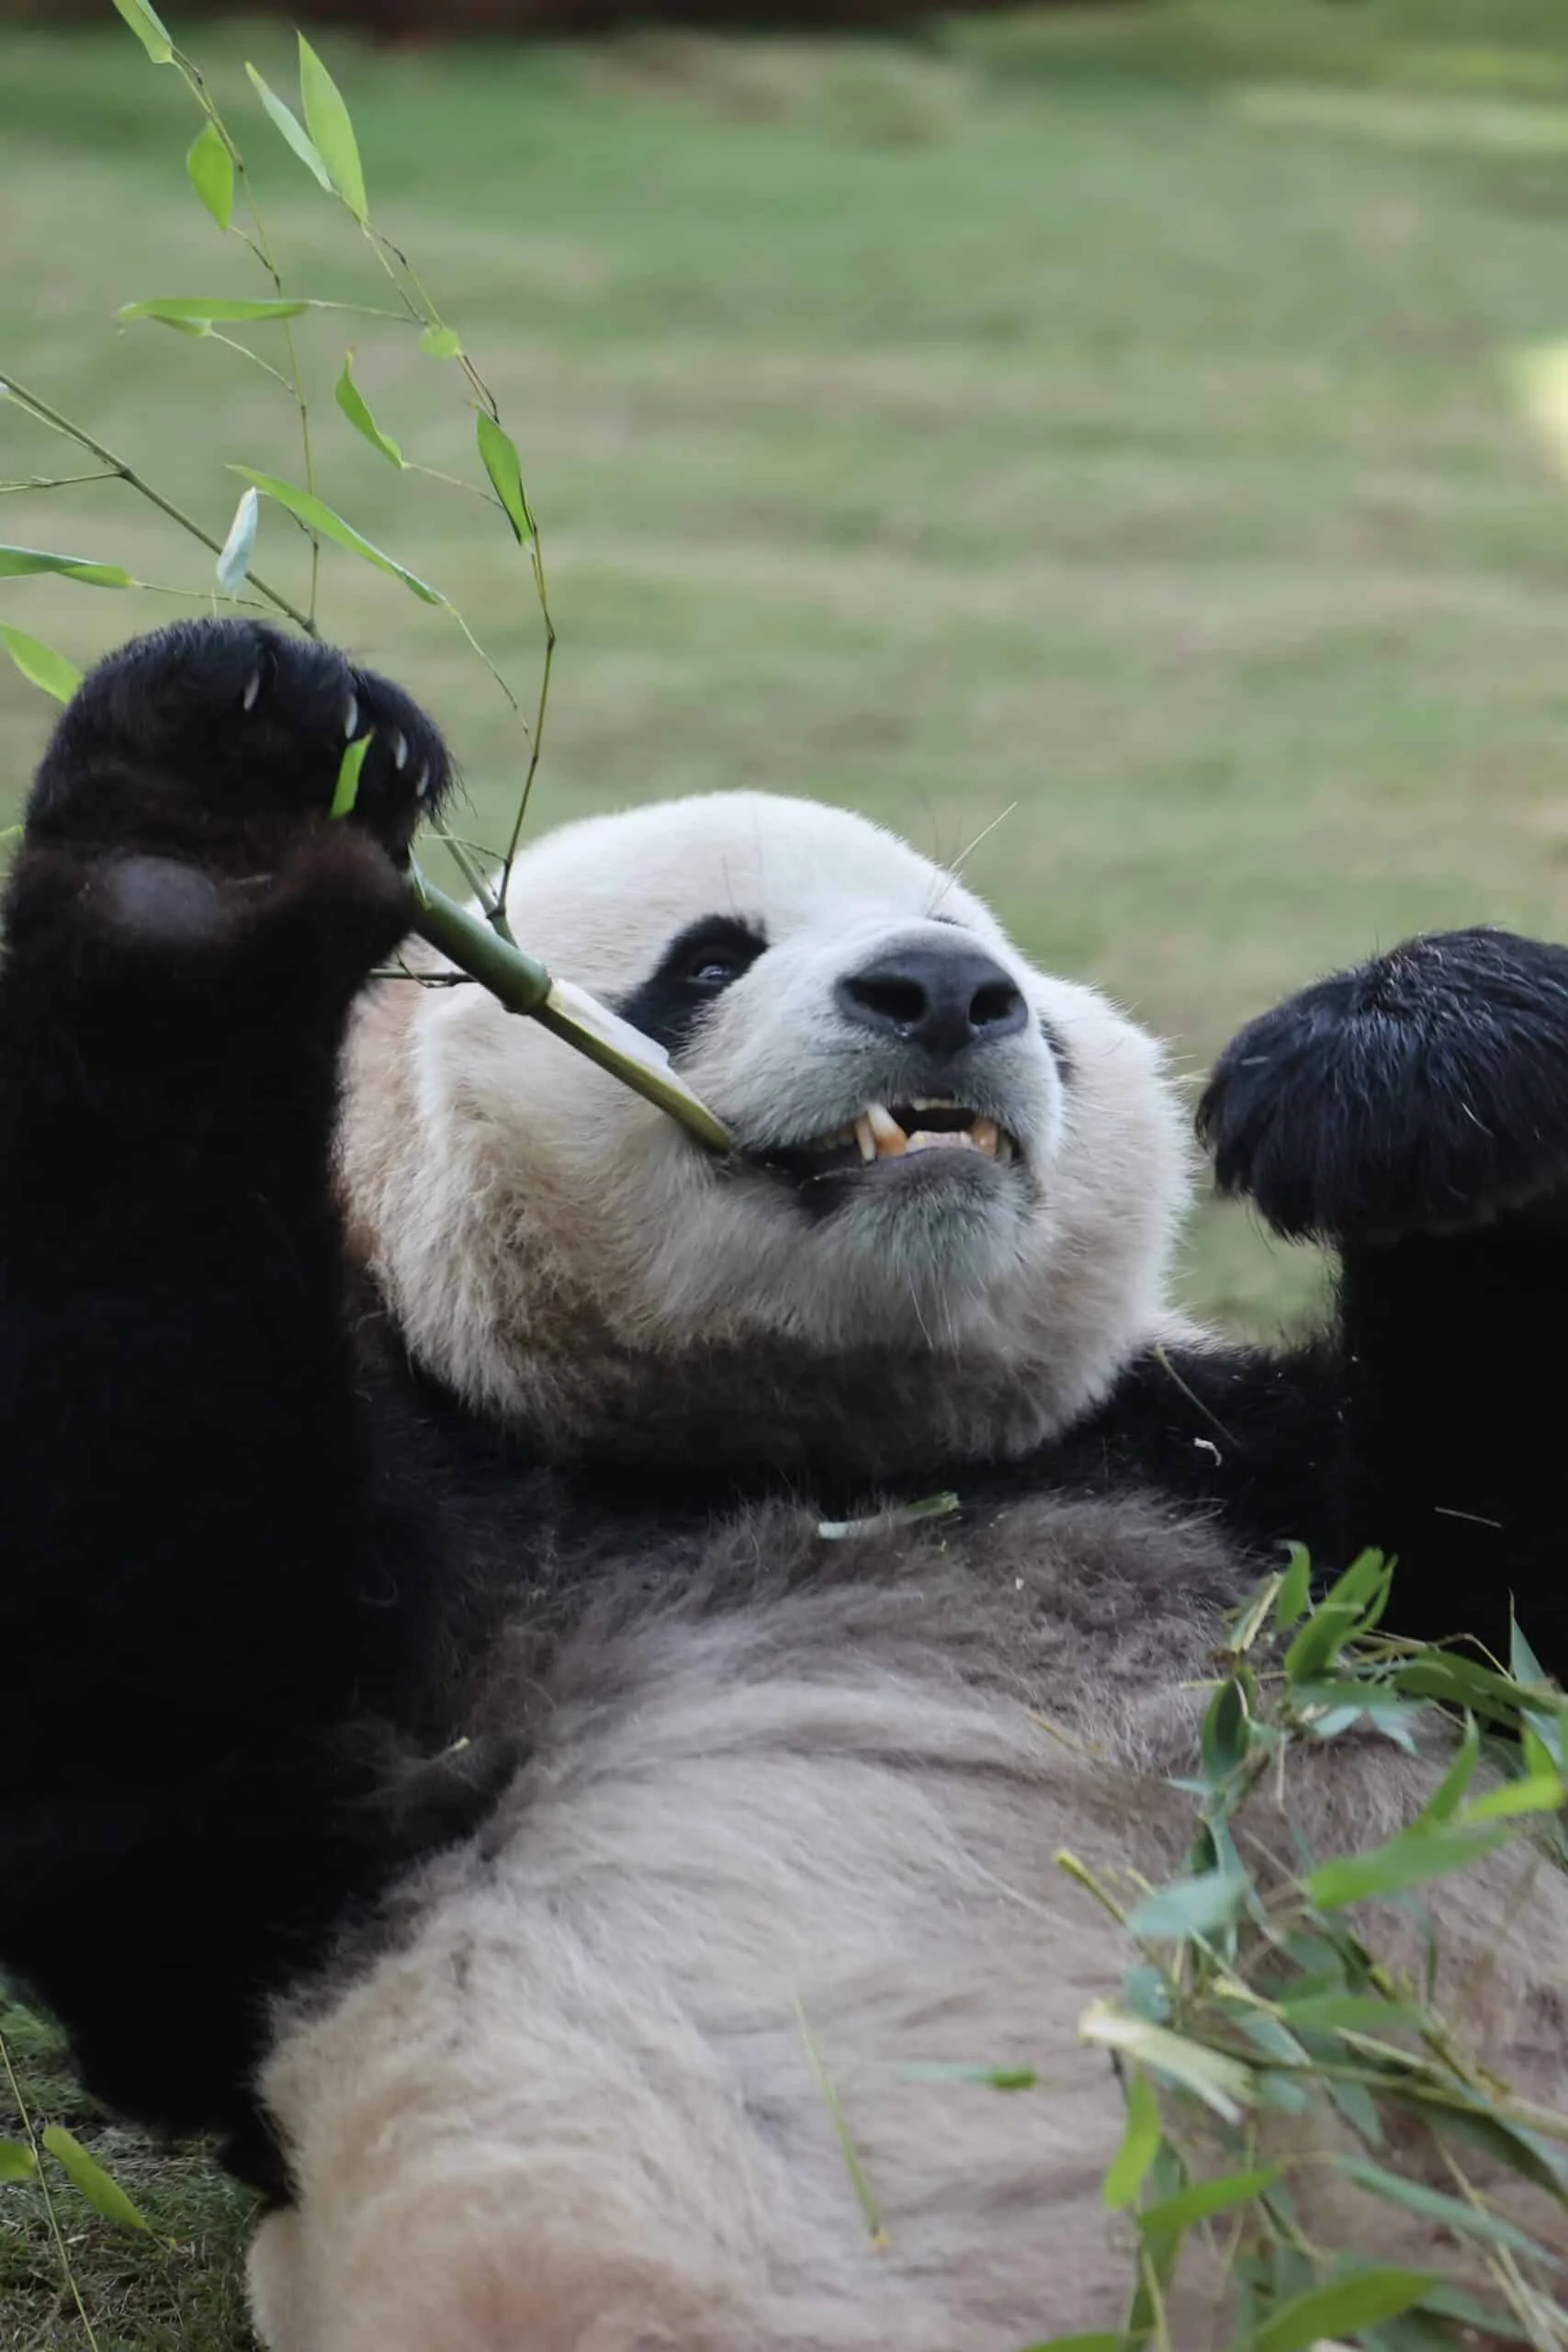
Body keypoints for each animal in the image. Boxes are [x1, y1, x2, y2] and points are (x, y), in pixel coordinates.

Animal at [1, 616, 1567, 2352]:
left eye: (987, 952)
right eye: (705, 960)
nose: (945, 989)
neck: (822, 1452)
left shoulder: (1218, 1483)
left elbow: (1489, 1615)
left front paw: (1414, 1075)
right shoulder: (431, 1582)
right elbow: (156, 1755)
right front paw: (215, 824)